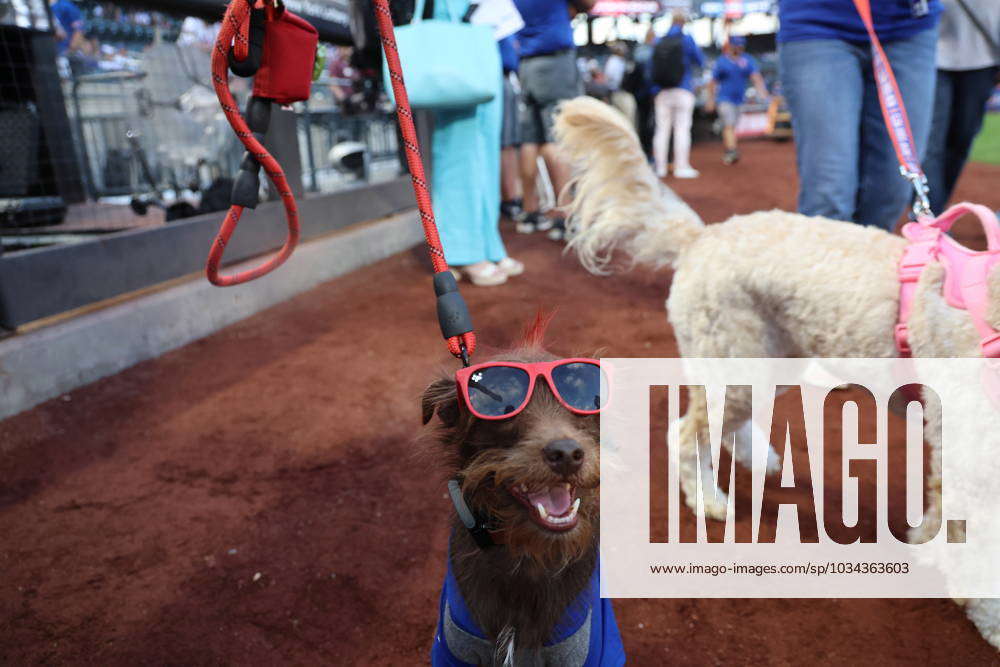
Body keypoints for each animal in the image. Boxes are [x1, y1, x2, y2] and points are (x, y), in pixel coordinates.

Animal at [556, 96, 1000, 648]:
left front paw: (928, 544)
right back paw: (708, 499)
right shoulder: (975, 459)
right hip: (736, 358)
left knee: (723, 423)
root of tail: (702, 236)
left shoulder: (954, 450)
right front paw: (987, 614)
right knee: (685, 434)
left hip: (774, 357)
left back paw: (757, 457)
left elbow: (944, 511)